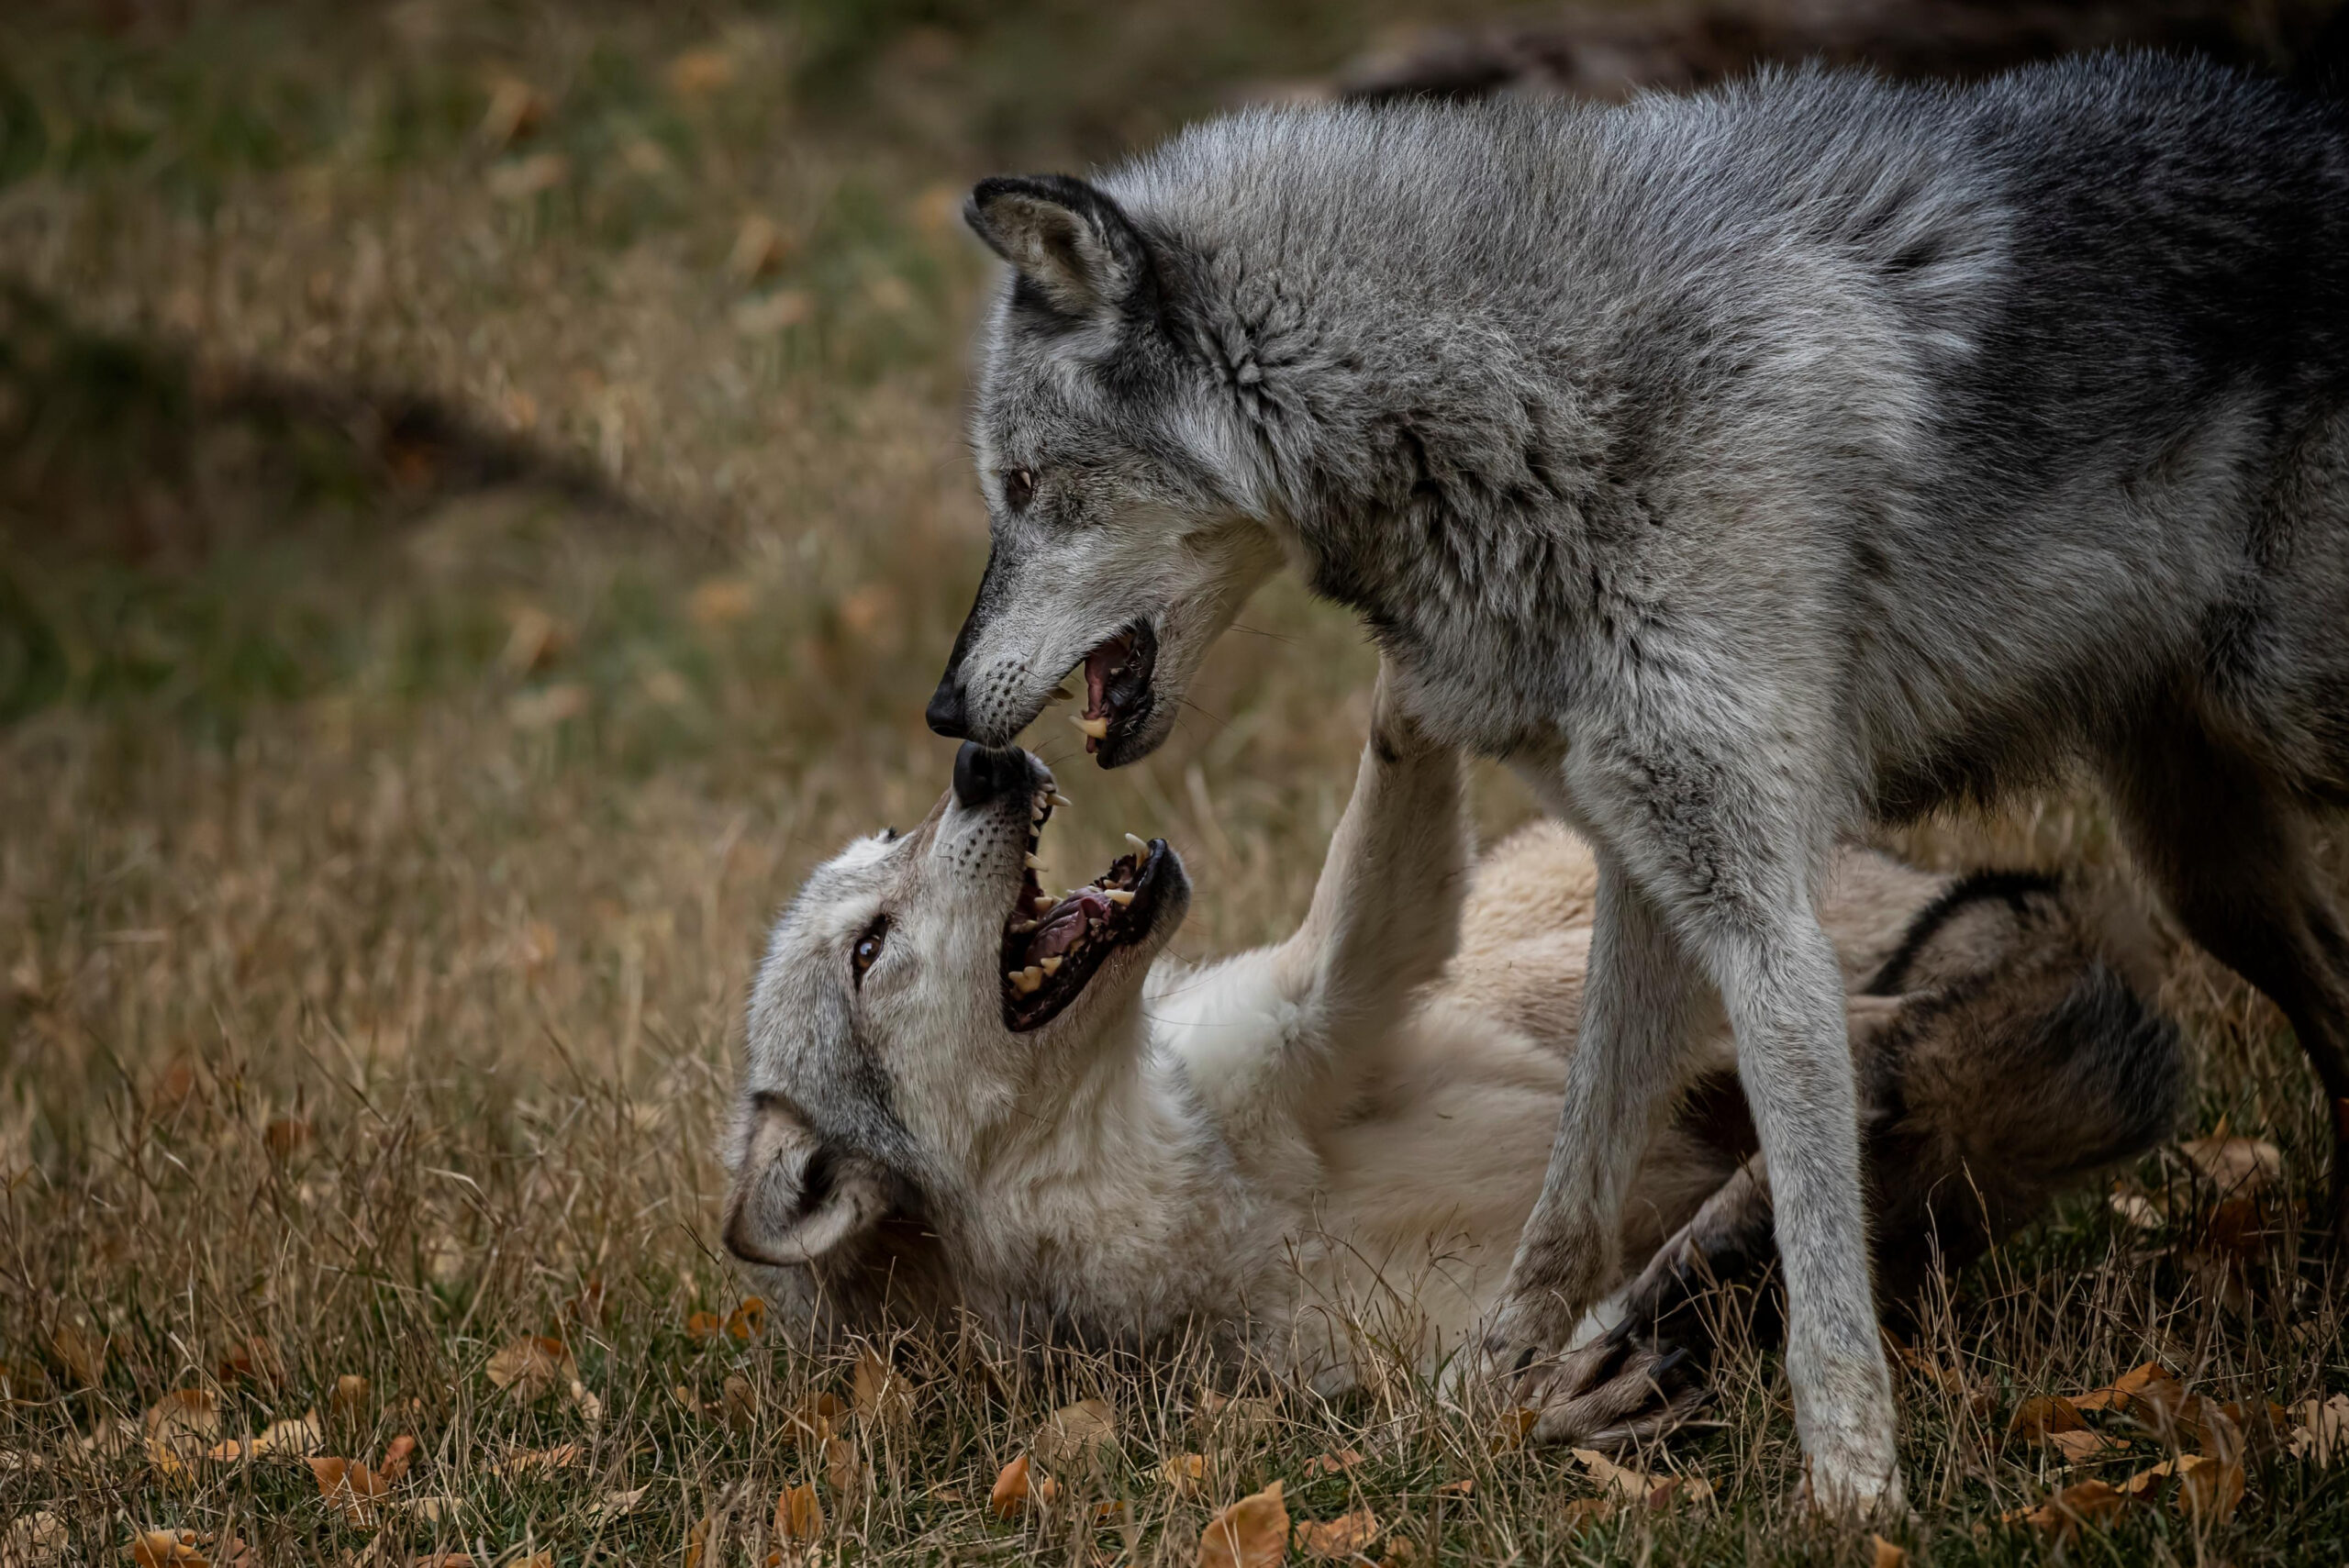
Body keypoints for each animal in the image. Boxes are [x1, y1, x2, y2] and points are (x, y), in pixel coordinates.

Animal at [725, 678, 2182, 1444]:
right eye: (867, 947)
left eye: (890, 836)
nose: (978, 758)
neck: (1199, 1196)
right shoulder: (1355, 1383)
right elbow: (1471, 1402)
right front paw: (1579, 1398)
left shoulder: (1330, 995)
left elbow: (1376, 821)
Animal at [919, 54, 2349, 1505]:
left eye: (1027, 485)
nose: (946, 713)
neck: (1531, 397)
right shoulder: (1654, 876)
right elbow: (1574, 1190)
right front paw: (1478, 1405)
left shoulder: (1761, 909)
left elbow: (1817, 1248)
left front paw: (1856, 1498)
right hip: (2204, 866)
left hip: (2279, 734)